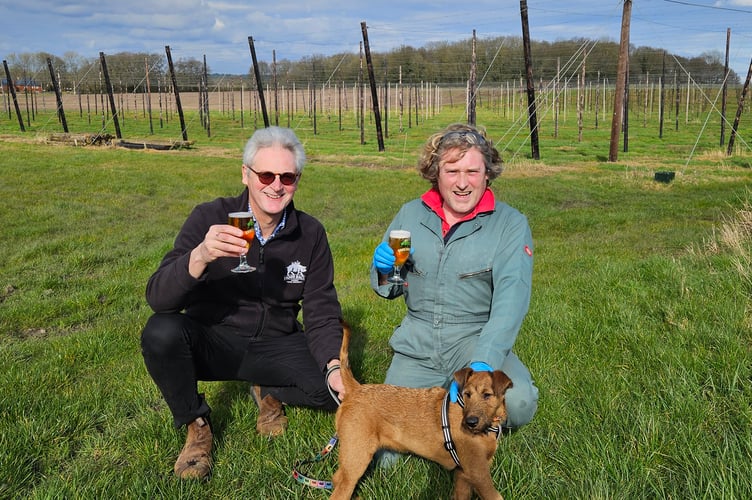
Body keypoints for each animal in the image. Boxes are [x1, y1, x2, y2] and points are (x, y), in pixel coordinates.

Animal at [332, 324, 516, 500]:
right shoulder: (478, 472)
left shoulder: (464, 474)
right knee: (340, 491)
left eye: (487, 395)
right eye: (467, 394)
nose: (470, 422)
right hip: (357, 456)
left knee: (336, 478)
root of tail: (355, 389)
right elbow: (496, 496)